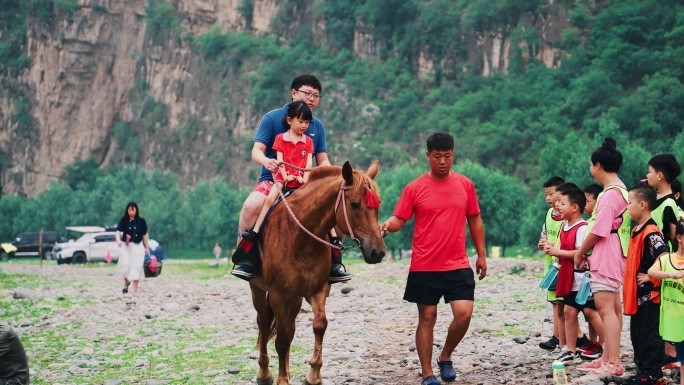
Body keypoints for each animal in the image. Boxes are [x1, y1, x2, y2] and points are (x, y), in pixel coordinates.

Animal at [248, 160, 388, 382]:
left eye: (378, 204)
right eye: (354, 204)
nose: (378, 252)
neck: (301, 237)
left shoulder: (319, 289)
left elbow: (319, 324)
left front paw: (313, 374)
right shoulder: (279, 294)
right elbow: (281, 339)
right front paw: (282, 379)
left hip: (294, 298)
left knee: (289, 328)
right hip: (259, 290)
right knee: (263, 322)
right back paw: (264, 372)